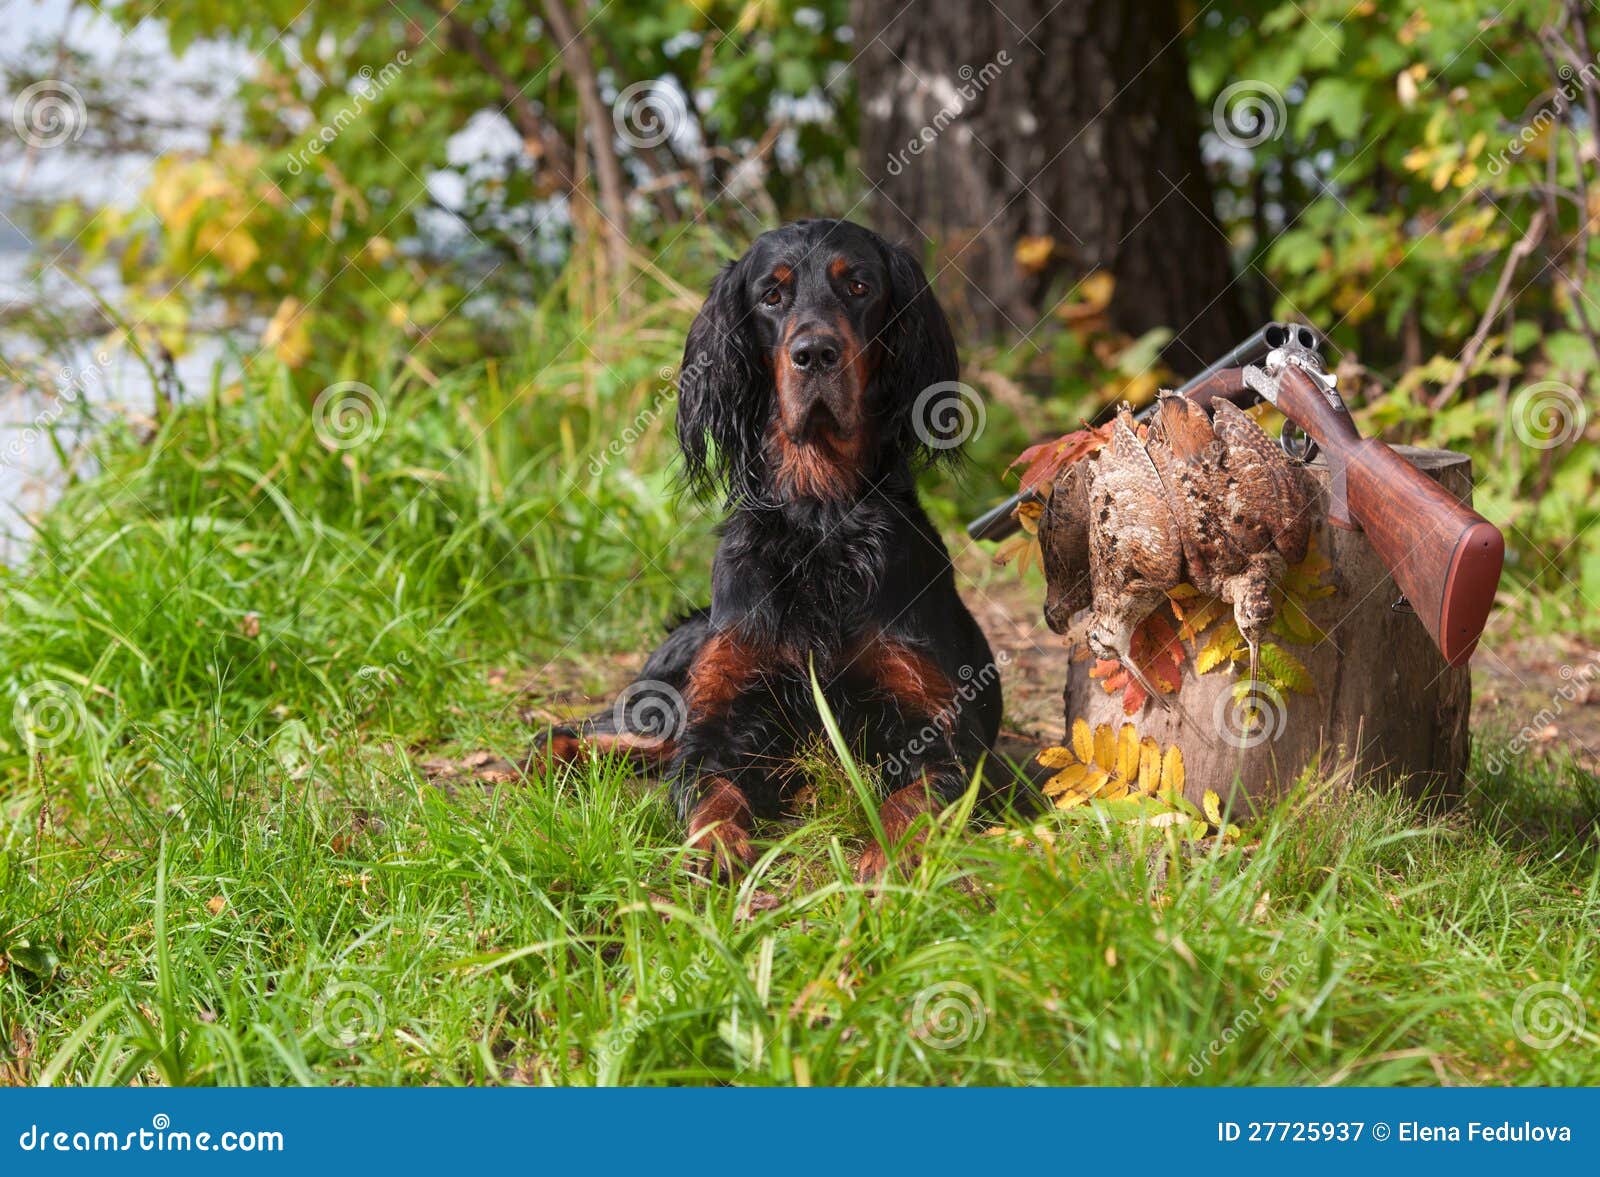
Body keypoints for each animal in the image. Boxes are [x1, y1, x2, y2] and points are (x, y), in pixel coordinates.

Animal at [544, 219, 1004, 882]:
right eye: (771, 295)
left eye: (859, 286)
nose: (814, 353)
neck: (819, 522)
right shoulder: (718, 717)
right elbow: (708, 785)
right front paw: (713, 846)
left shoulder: (947, 732)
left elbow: (916, 796)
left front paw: (887, 857)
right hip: (665, 703)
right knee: (569, 734)